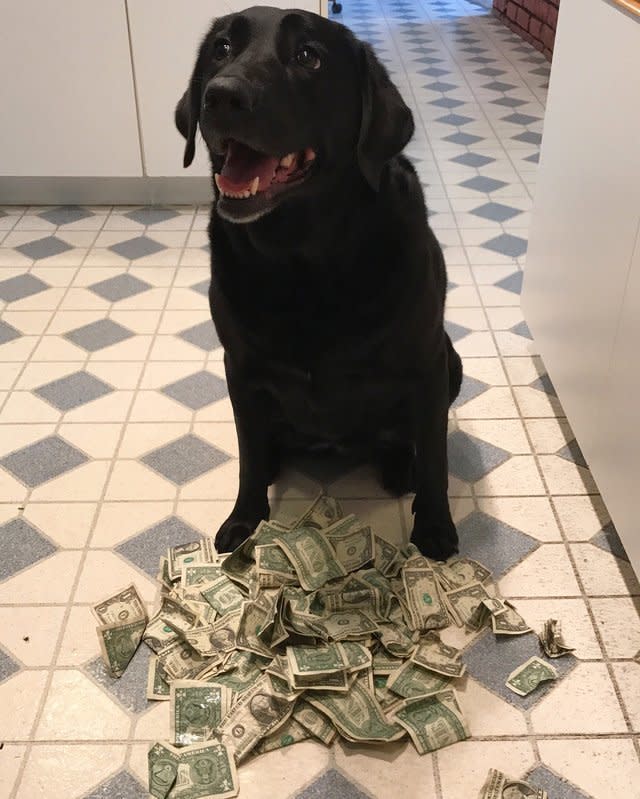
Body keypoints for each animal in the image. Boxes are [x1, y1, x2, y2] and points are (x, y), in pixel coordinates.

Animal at [176, 6, 460, 560]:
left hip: (452, 364)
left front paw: (436, 528)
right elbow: (246, 454)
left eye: (309, 56)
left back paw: (401, 468)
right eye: (222, 49)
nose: (221, 95)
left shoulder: (428, 363)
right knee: (262, 444)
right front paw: (244, 519)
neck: (302, 260)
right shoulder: (239, 368)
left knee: (408, 439)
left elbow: (437, 456)